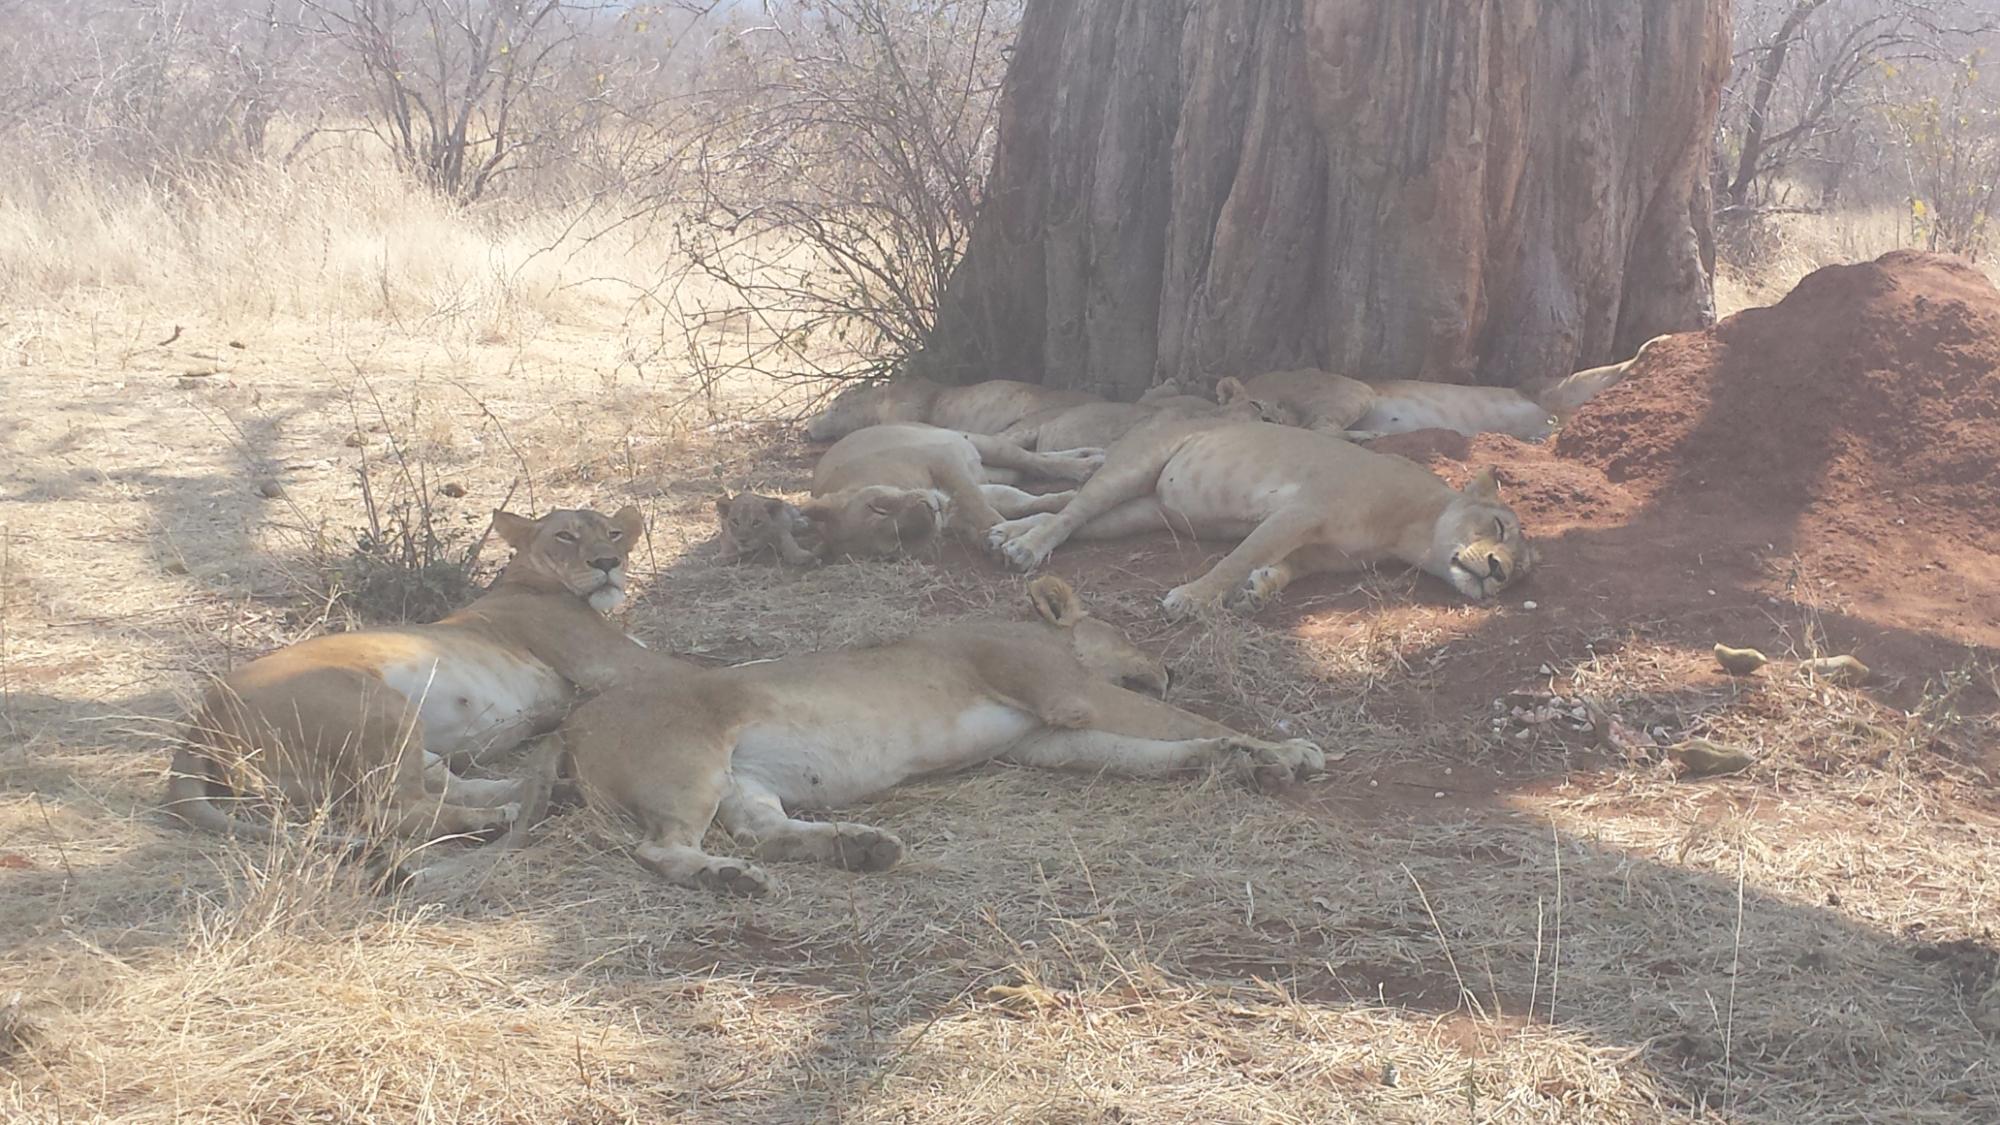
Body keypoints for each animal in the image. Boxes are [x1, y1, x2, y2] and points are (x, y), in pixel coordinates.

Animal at [168, 506, 680, 847]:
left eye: (614, 533)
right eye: (566, 537)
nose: (608, 562)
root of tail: (199, 723)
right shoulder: (608, 661)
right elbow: (683, 663)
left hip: (353, 767)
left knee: (439, 785)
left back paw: (542, 792)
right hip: (378, 708)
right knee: (390, 812)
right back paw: (496, 817)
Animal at [555, 576, 1326, 894]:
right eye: (1131, 632)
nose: (1171, 666)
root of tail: (576, 721)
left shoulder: (1044, 738)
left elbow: (1150, 752)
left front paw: (1238, 760)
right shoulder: (1069, 695)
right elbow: (1183, 720)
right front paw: (1284, 749)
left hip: (742, 780)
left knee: (762, 831)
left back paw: (861, 849)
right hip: (688, 768)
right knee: (660, 848)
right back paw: (726, 880)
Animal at [725, 423, 1104, 560]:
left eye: (877, 506)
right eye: (895, 545)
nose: (928, 509)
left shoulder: (944, 460)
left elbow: (987, 509)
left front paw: (1004, 535)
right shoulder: (965, 494)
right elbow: (1018, 502)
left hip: (972, 442)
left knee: (1031, 457)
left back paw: (1087, 464)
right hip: (989, 465)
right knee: (1030, 465)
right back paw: (1090, 459)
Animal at [987, 418, 1533, 616]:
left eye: (1520, 575)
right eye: (1499, 527)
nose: (1499, 572)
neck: (1411, 531)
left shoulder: (1320, 551)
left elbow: (1282, 567)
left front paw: (1259, 589)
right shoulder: (1301, 511)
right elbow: (1238, 556)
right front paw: (1191, 598)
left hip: (1146, 512)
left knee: (1070, 512)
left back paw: (1005, 532)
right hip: (1133, 467)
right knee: (1072, 509)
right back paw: (1023, 547)